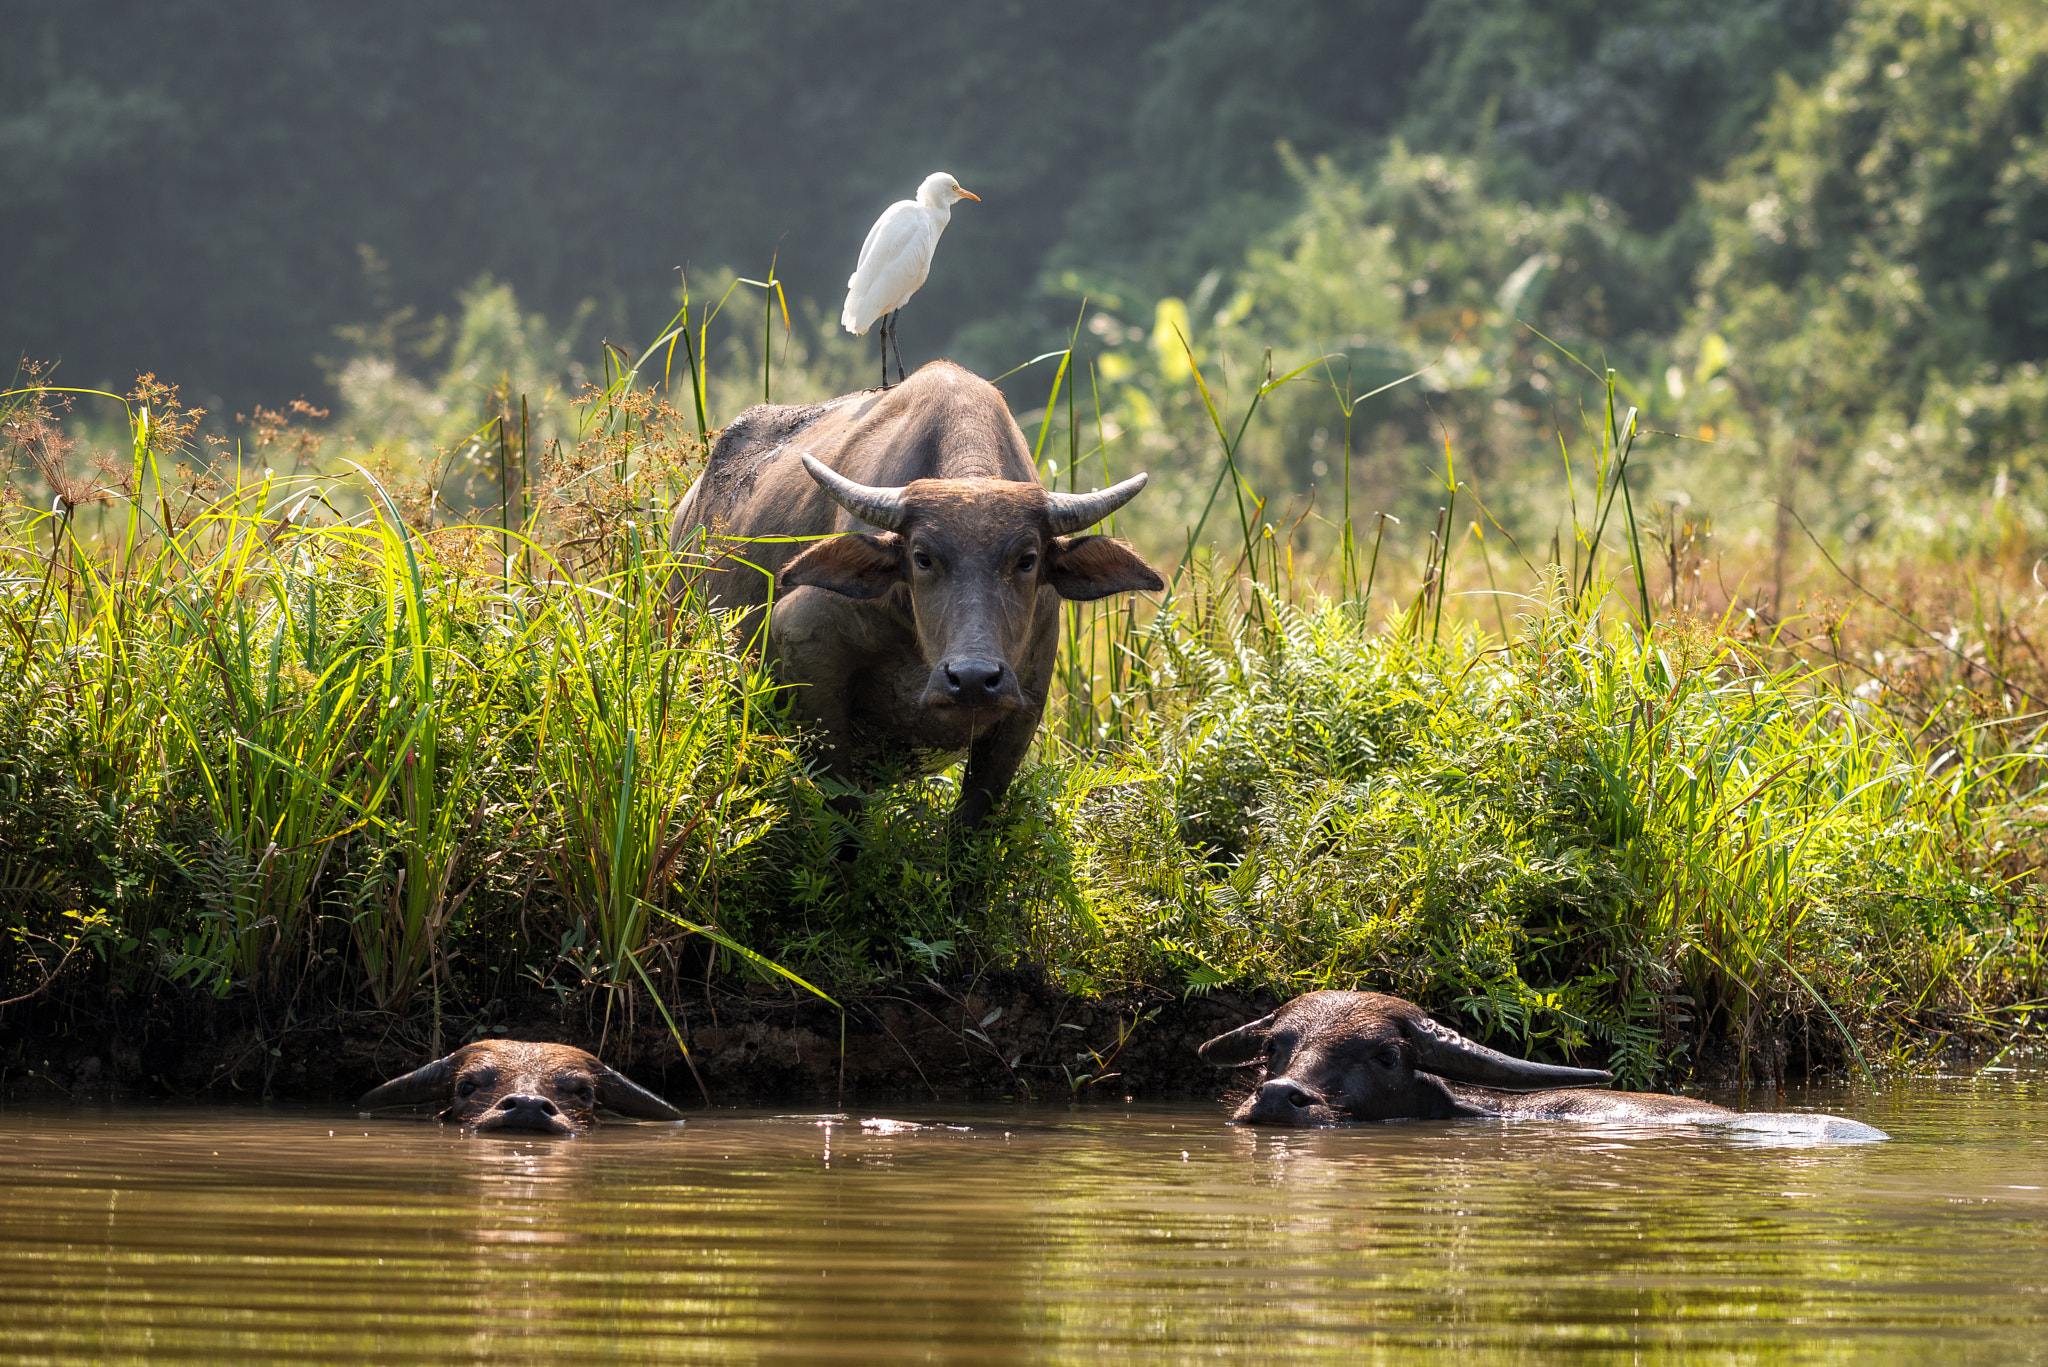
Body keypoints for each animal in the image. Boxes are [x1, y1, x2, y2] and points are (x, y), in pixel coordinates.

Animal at [665, 361, 1163, 825]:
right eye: (922, 557)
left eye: (1027, 559)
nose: (973, 678)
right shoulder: (805, 645)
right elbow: (843, 806)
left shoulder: (1028, 698)